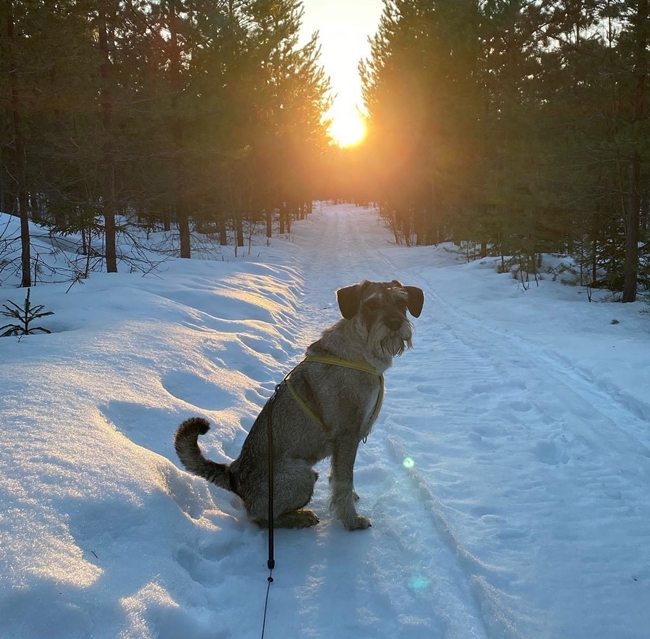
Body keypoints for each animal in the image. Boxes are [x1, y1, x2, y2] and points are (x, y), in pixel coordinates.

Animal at [174, 280, 424, 530]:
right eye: (372, 305)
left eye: (401, 303)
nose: (395, 324)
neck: (360, 351)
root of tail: (234, 475)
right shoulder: (347, 435)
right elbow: (343, 481)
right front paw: (351, 520)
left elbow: (338, 478)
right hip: (301, 475)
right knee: (260, 518)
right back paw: (300, 517)